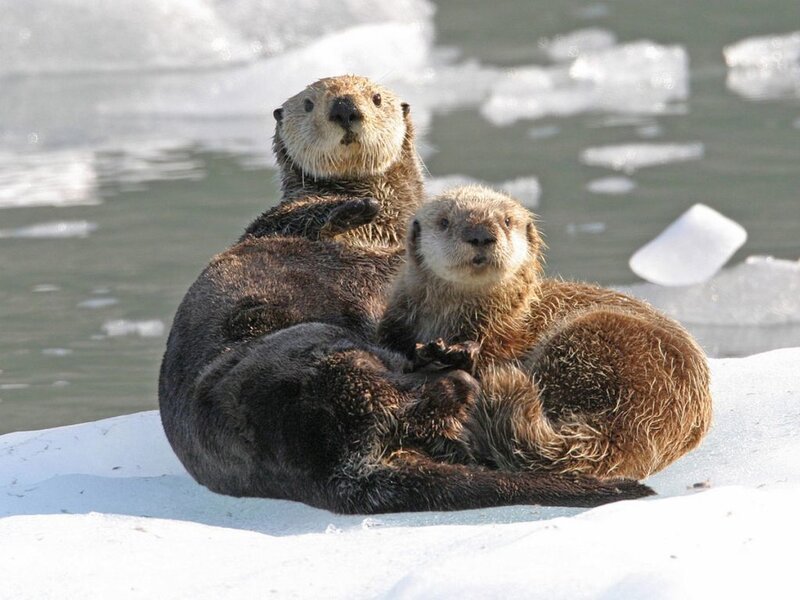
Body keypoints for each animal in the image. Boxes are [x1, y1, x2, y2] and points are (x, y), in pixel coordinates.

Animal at [159, 77, 652, 513]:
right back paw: (450, 368)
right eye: (310, 104)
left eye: (375, 98)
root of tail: (339, 468)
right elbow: (291, 220)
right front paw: (358, 207)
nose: (345, 109)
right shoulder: (272, 229)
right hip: (319, 356)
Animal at [380, 184, 712, 480]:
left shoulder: (504, 337)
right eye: (444, 221)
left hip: (588, 340)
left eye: (507, 220)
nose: (481, 235)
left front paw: (452, 354)